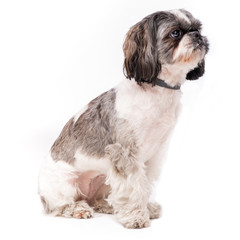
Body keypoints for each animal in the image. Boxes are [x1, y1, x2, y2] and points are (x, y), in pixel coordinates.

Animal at [38, 8, 209, 229]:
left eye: (198, 28)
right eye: (175, 33)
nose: (196, 35)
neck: (157, 89)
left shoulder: (155, 153)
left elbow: (144, 183)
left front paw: (146, 208)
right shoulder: (125, 152)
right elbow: (133, 186)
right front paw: (136, 216)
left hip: (103, 178)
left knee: (96, 198)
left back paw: (106, 205)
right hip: (65, 185)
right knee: (59, 206)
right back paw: (77, 209)